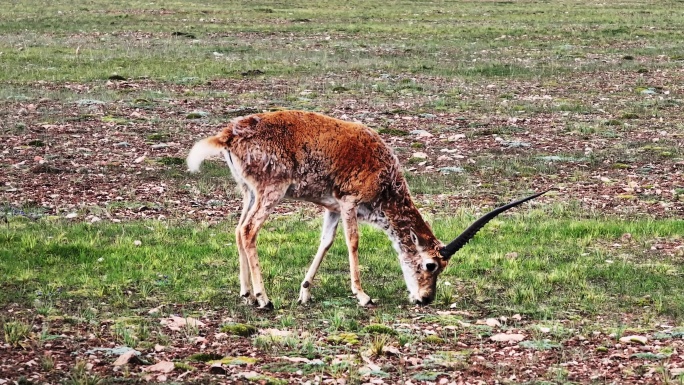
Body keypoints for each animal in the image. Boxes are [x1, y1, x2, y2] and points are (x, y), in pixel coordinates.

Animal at [186, 110, 544, 308]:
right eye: (431, 265)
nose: (425, 298)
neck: (386, 175)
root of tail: (229, 134)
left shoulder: (331, 208)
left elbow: (325, 242)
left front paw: (304, 293)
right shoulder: (349, 203)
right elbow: (352, 243)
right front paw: (363, 296)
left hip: (248, 192)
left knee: (237, 229)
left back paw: (246, 293)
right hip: (271, 191)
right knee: (249, 231)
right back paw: (263, 299)